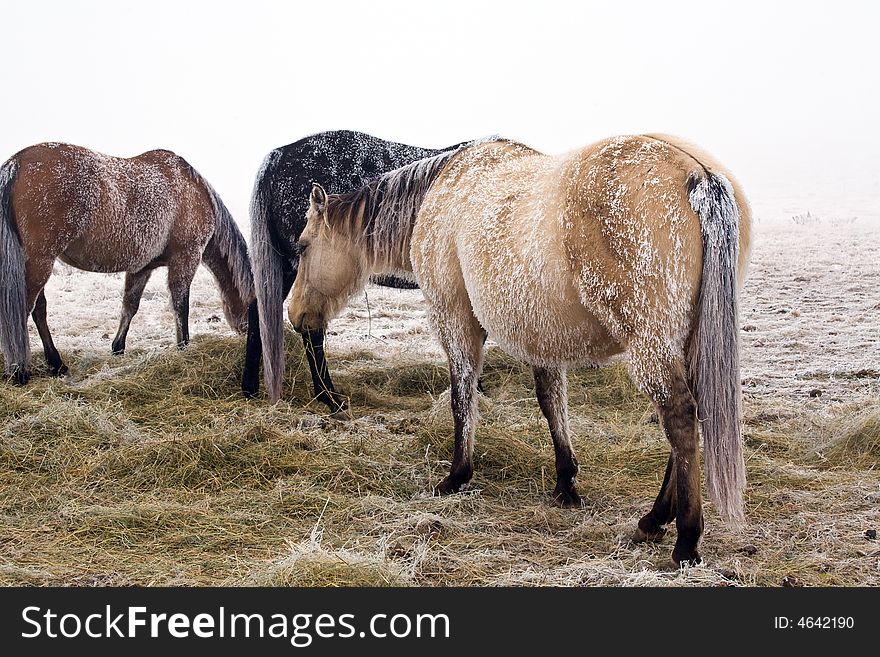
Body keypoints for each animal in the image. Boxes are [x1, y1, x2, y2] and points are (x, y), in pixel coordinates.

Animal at [0, 141, 254, 382]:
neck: (194, 190)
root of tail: (17, 162)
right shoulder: (186, 258)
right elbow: (181, 306)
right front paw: (184, 348)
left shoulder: (141, 268)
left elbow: (130, 306)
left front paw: (118, 348)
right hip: (40, 262)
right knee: (24, 310)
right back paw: (19, 370)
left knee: (39, 310)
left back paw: (56, 364)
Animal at [288, 135, 748, 564]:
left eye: (303, 246)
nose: (293, 314)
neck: (443, 193)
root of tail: (695, 174)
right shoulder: (542, 338)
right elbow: (552, 402)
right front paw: (565, 483)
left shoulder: (455, 319)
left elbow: (462, 396)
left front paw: (457, 475)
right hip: (685, 343)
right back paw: (656, 518)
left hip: (651, 343)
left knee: (680, 417)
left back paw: (683, 537)